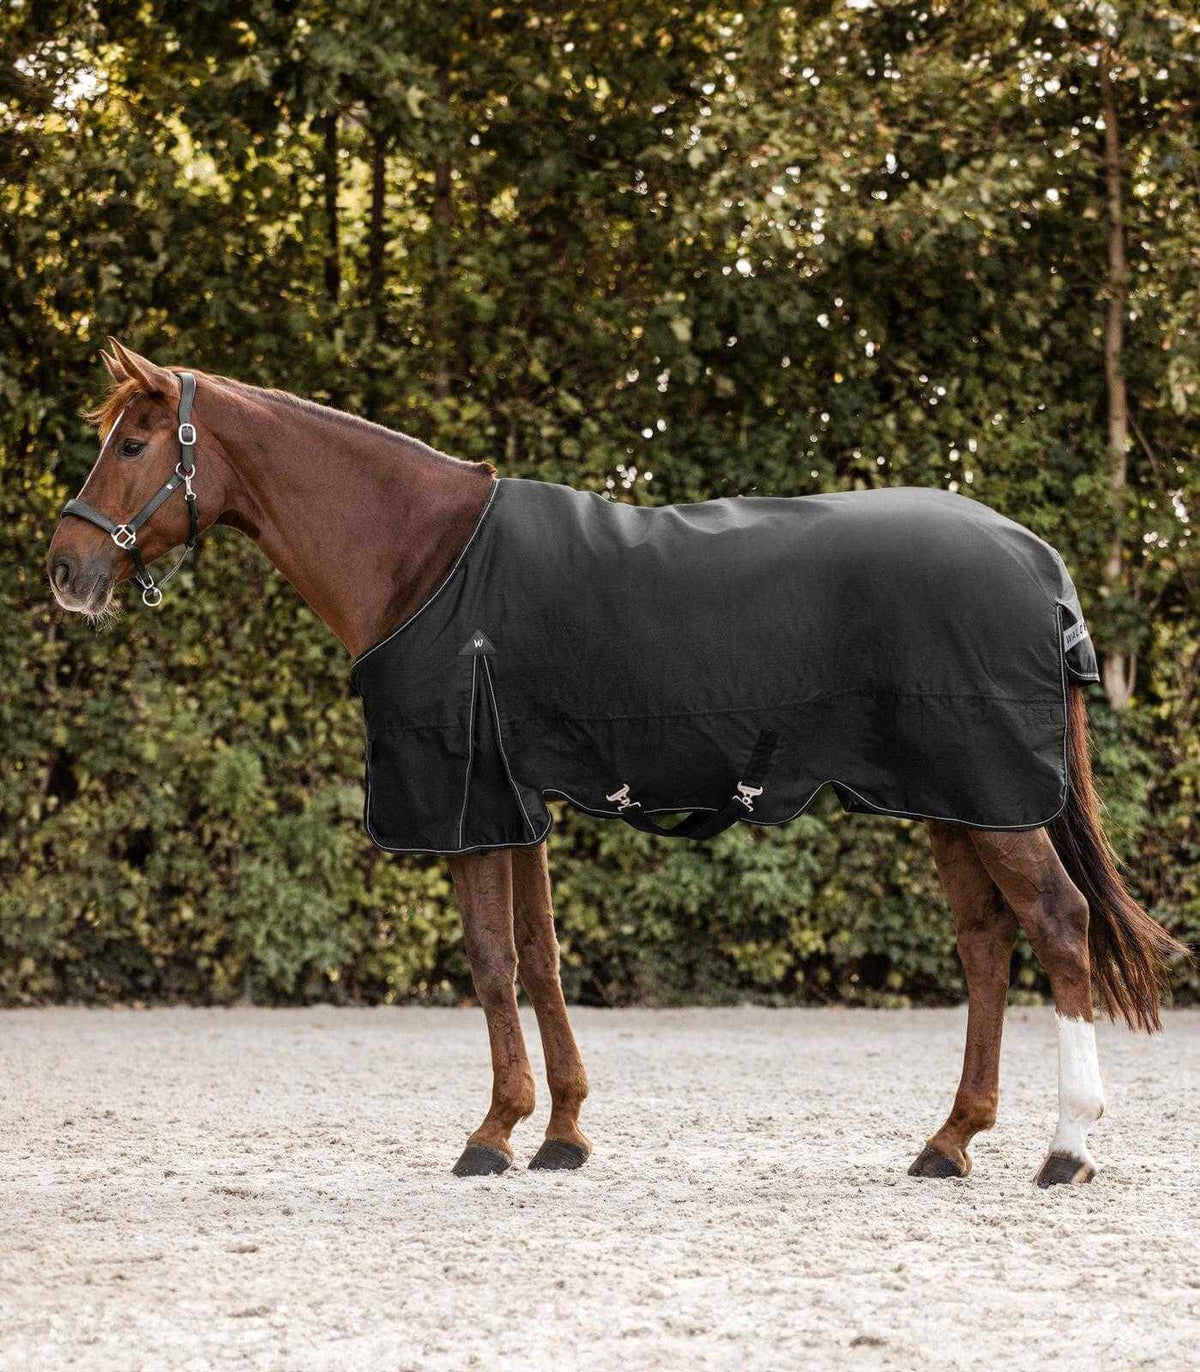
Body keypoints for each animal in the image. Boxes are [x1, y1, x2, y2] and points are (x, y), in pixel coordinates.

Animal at [46, 340, 1186, 1186]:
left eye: (135, 442)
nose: (65, 571)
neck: (425, 558)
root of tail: (1039, 562)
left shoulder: (470, 799)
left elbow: (492, 960)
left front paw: (491, 1133)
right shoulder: (520, 803)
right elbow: (542, 957)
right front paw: (561, 1133)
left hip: (997, 801)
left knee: (1060, 926)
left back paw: (1065, 1147)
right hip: (954, 802)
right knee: (986, 945)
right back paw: (950, 1142)